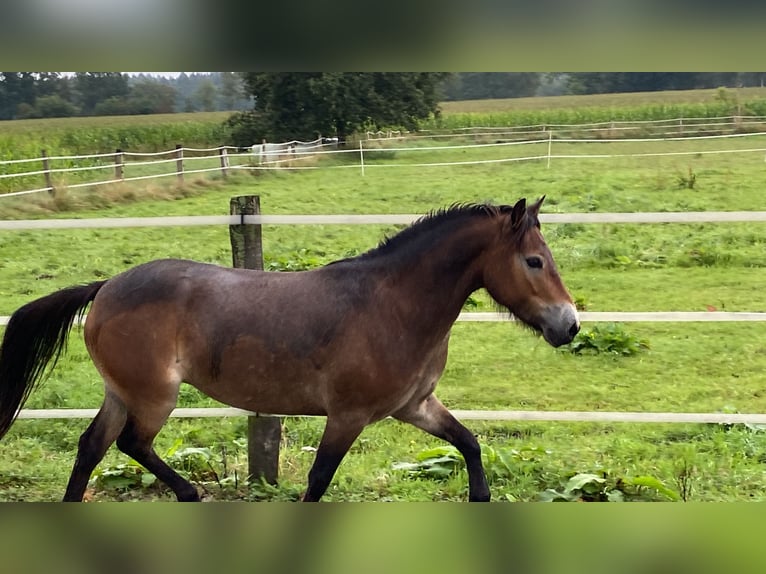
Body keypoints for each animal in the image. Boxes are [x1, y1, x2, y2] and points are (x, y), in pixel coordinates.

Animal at [0, 196, 580, 502]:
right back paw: (190, 493)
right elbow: (319, 481)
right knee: (131, 445)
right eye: (534, 261)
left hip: (121, 393)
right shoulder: (347, 415)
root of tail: (105, 288)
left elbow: (470, 443)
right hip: (153, 396)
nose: (569, 326)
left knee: (92, 447)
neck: (393, 305)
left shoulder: (415, 407)